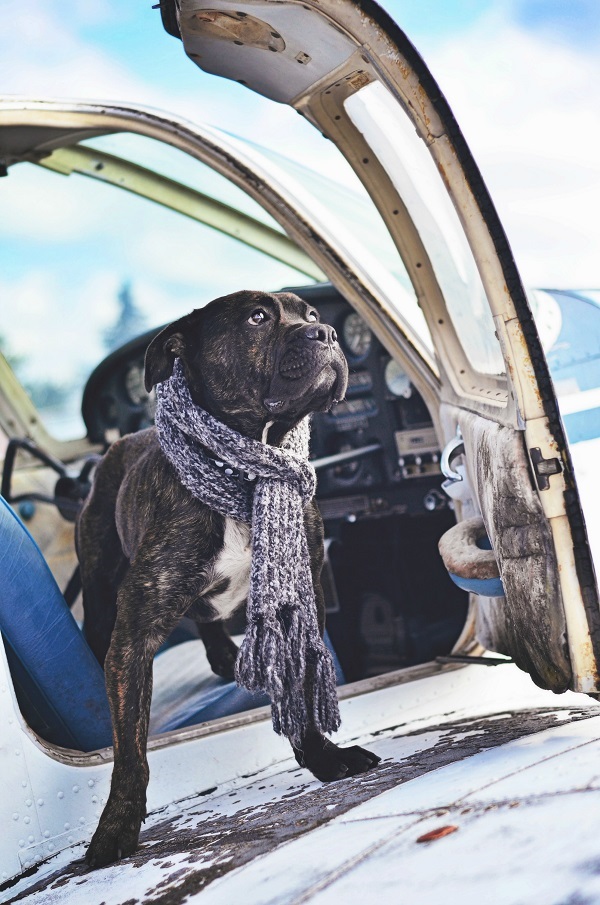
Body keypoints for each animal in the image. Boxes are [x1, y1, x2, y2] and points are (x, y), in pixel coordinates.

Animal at [77, 289, 380, 868]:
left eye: (311, 314)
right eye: (257, 318)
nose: (327, 333)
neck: (249, 467)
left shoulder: (296, 602)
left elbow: (299, 691)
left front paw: (322, 758)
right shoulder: (134, 636)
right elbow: (130, 752)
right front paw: (116, 827)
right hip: (101, 593)